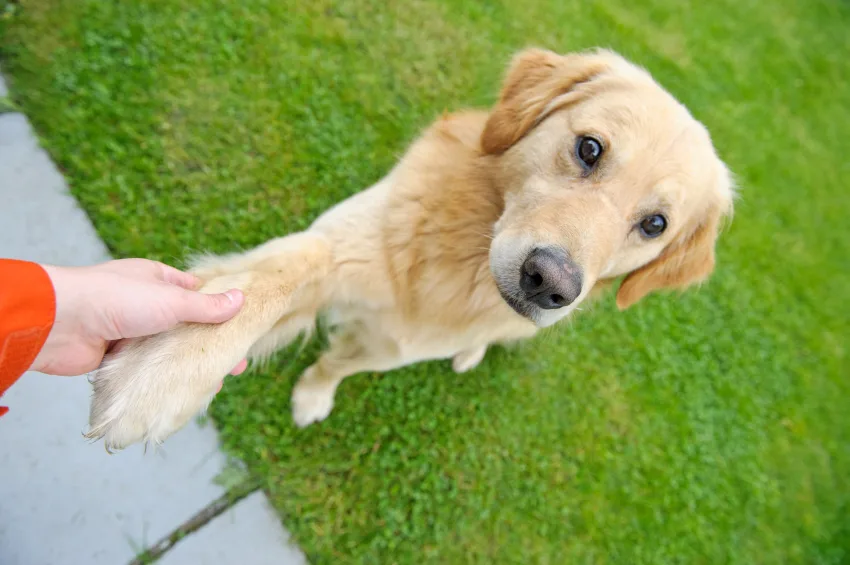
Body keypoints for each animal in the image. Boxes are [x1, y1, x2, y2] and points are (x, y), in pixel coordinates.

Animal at [88, 47, 736, 450]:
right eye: (590, 148)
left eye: (655, 224)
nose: (550, 284)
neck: (462, 263)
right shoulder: (343, 244)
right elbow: (281, 272)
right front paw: (170, 368)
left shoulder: (394, 348)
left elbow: (339, 362)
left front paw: (313, 393)